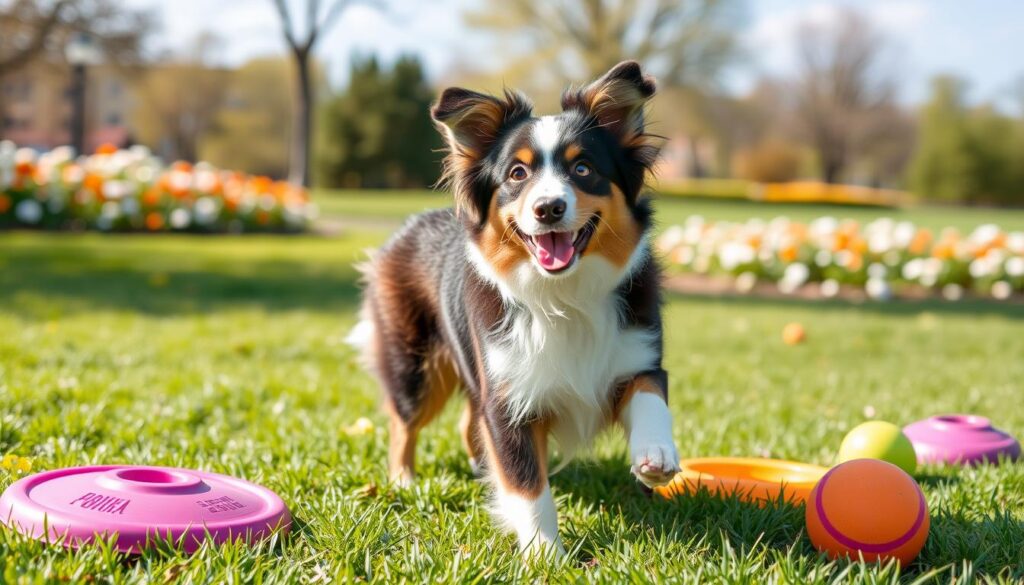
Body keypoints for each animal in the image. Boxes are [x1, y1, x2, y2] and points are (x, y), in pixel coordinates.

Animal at [350, 60, 679, 557]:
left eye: (583, 168)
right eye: (517, 173)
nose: (548, 208)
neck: (563, 295)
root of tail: (408, 226)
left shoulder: (637, 354)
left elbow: (649, 392)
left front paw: (656, 453)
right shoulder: (508, 396)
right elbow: (527, 484)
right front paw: (545, 555)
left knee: (467, 422)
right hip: (416, 367)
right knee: (403, 424)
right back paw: (404, 481)